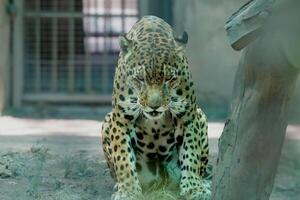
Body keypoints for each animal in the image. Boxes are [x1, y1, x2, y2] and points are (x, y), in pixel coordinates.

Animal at [102, 15, 210, 200]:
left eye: (169, 78)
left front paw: (193, 189)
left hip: (200, 116)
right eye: (140, 79)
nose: (154, 107)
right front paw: (128, 191)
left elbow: (191, 154)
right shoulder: (121, 119)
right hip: (107, 120)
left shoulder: (188, 117)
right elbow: (123, 158)